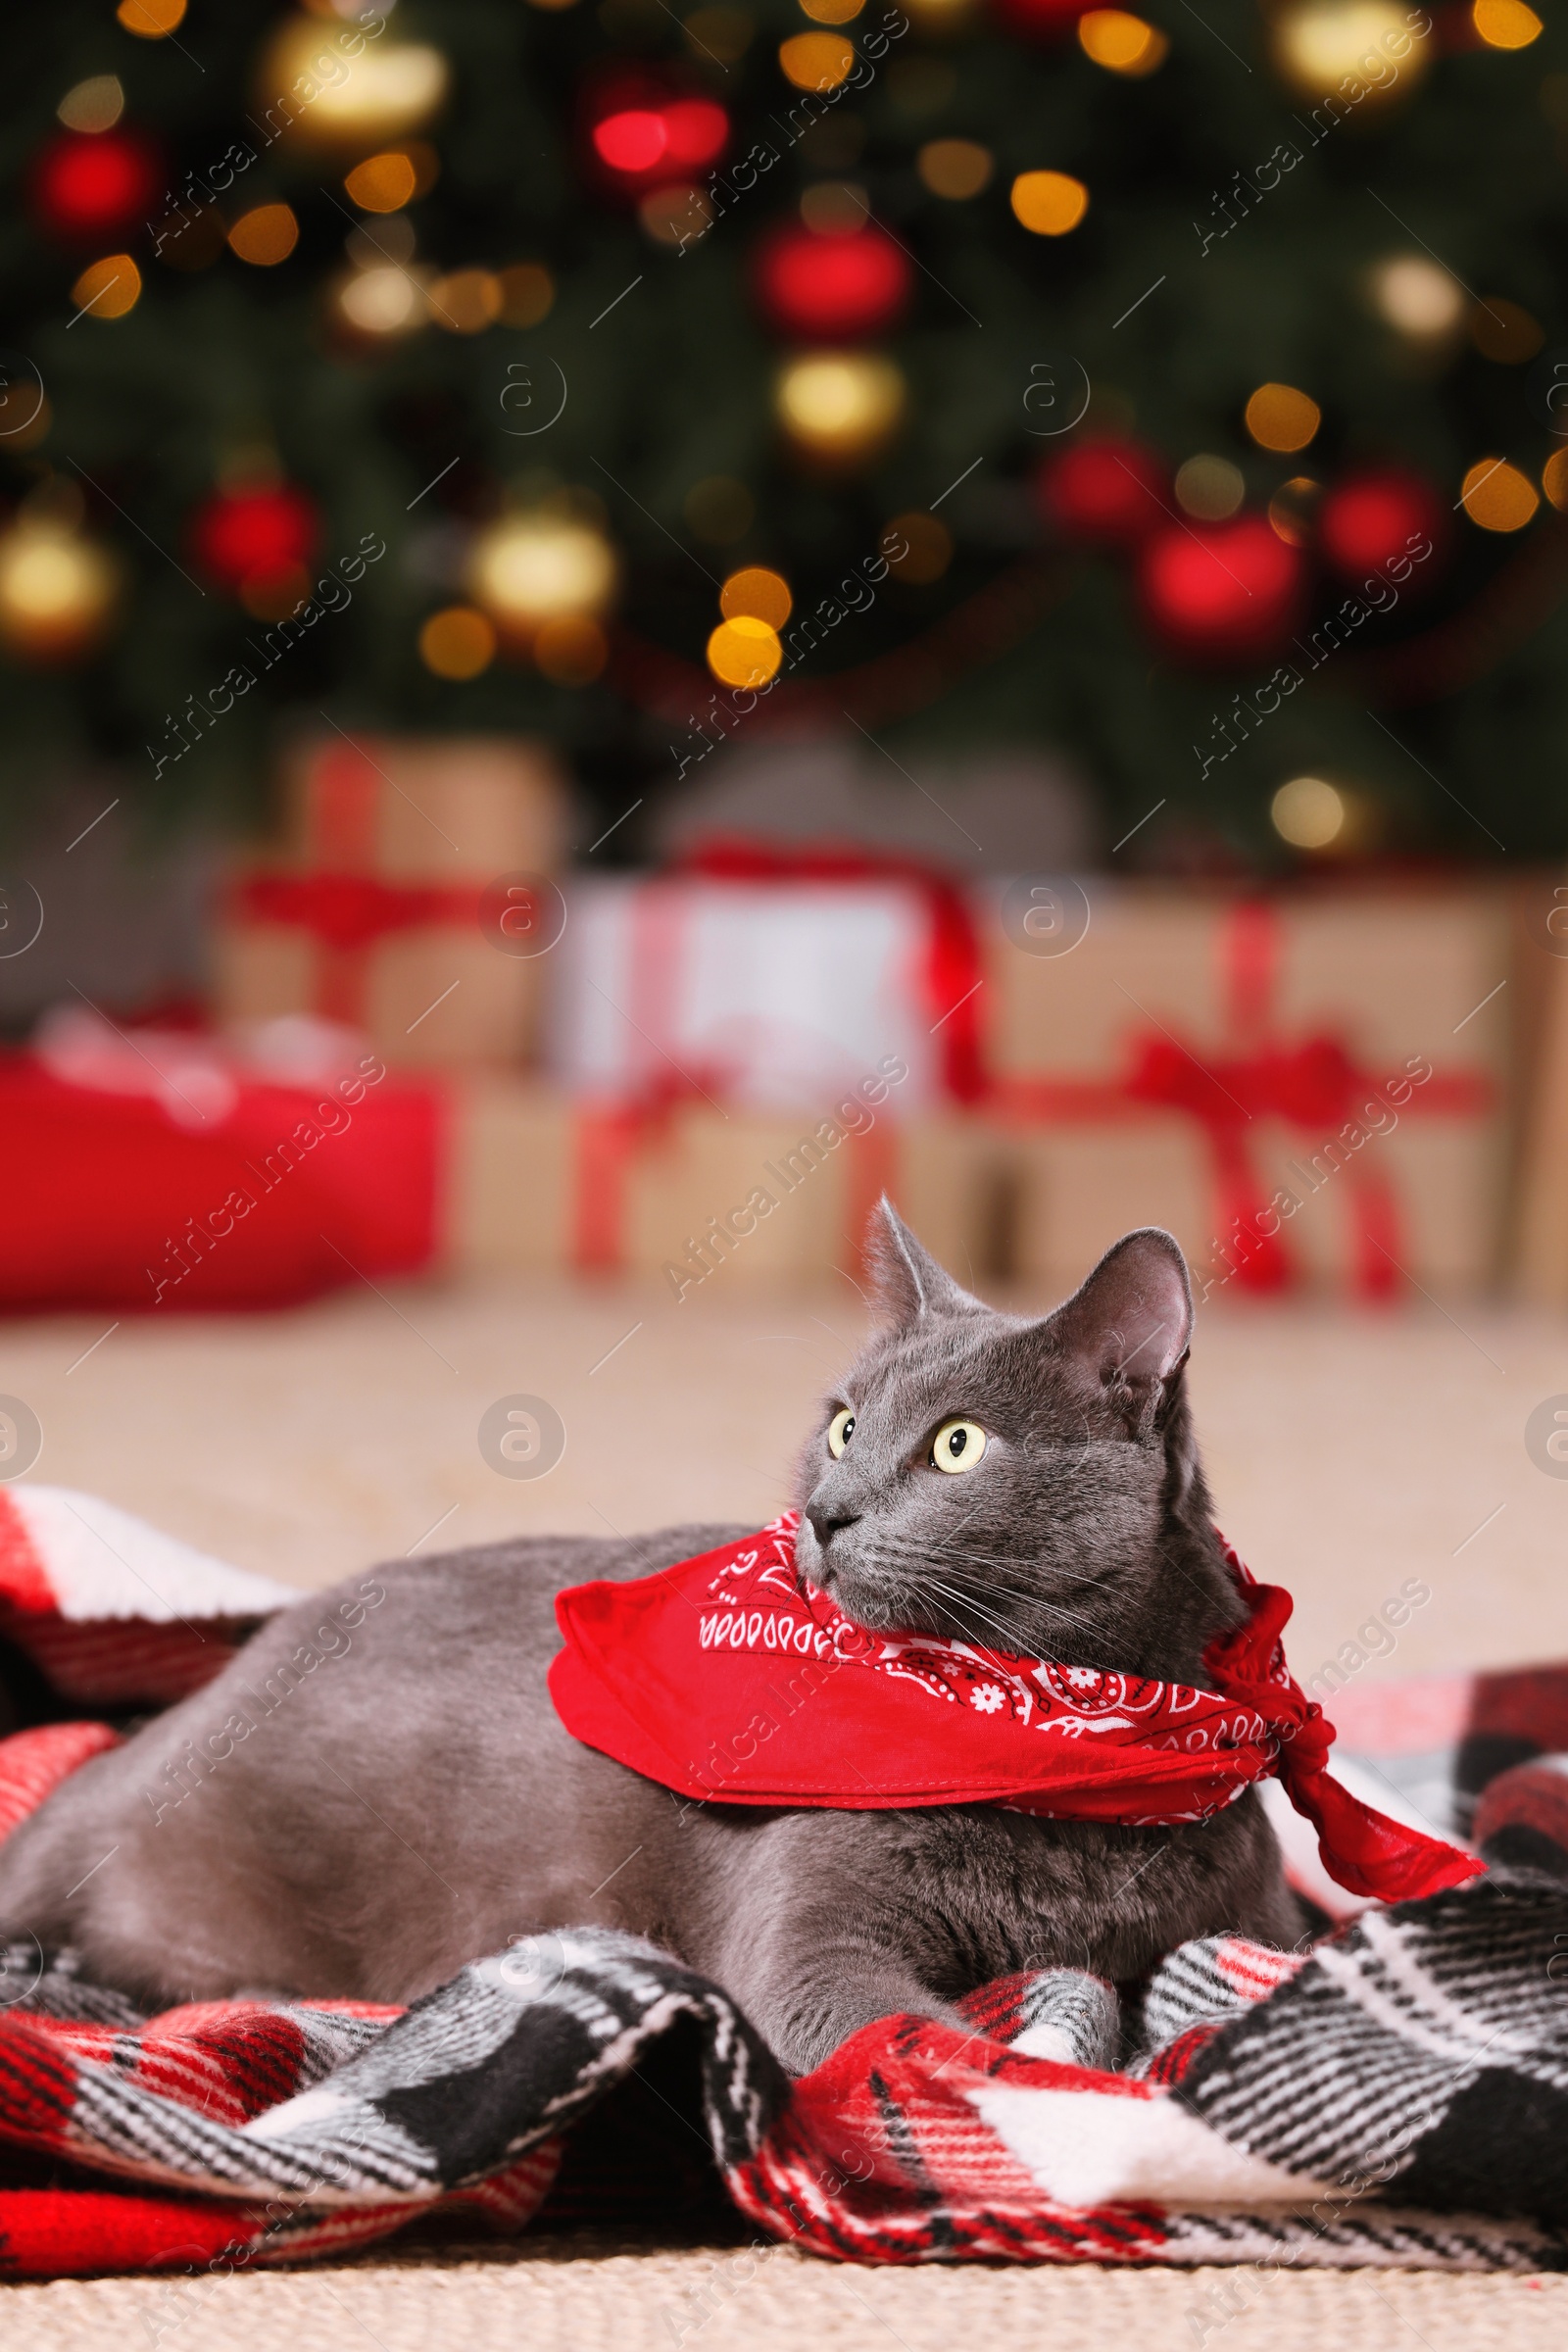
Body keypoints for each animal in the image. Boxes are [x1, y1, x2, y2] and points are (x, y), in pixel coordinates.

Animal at [0, 1203, 1298, 2070]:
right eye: (842, 1425)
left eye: (958, 1445)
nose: (827, 1512)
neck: (1059, 1746)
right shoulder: (808, 1934)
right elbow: (910, 2039)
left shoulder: (1252, 1921)